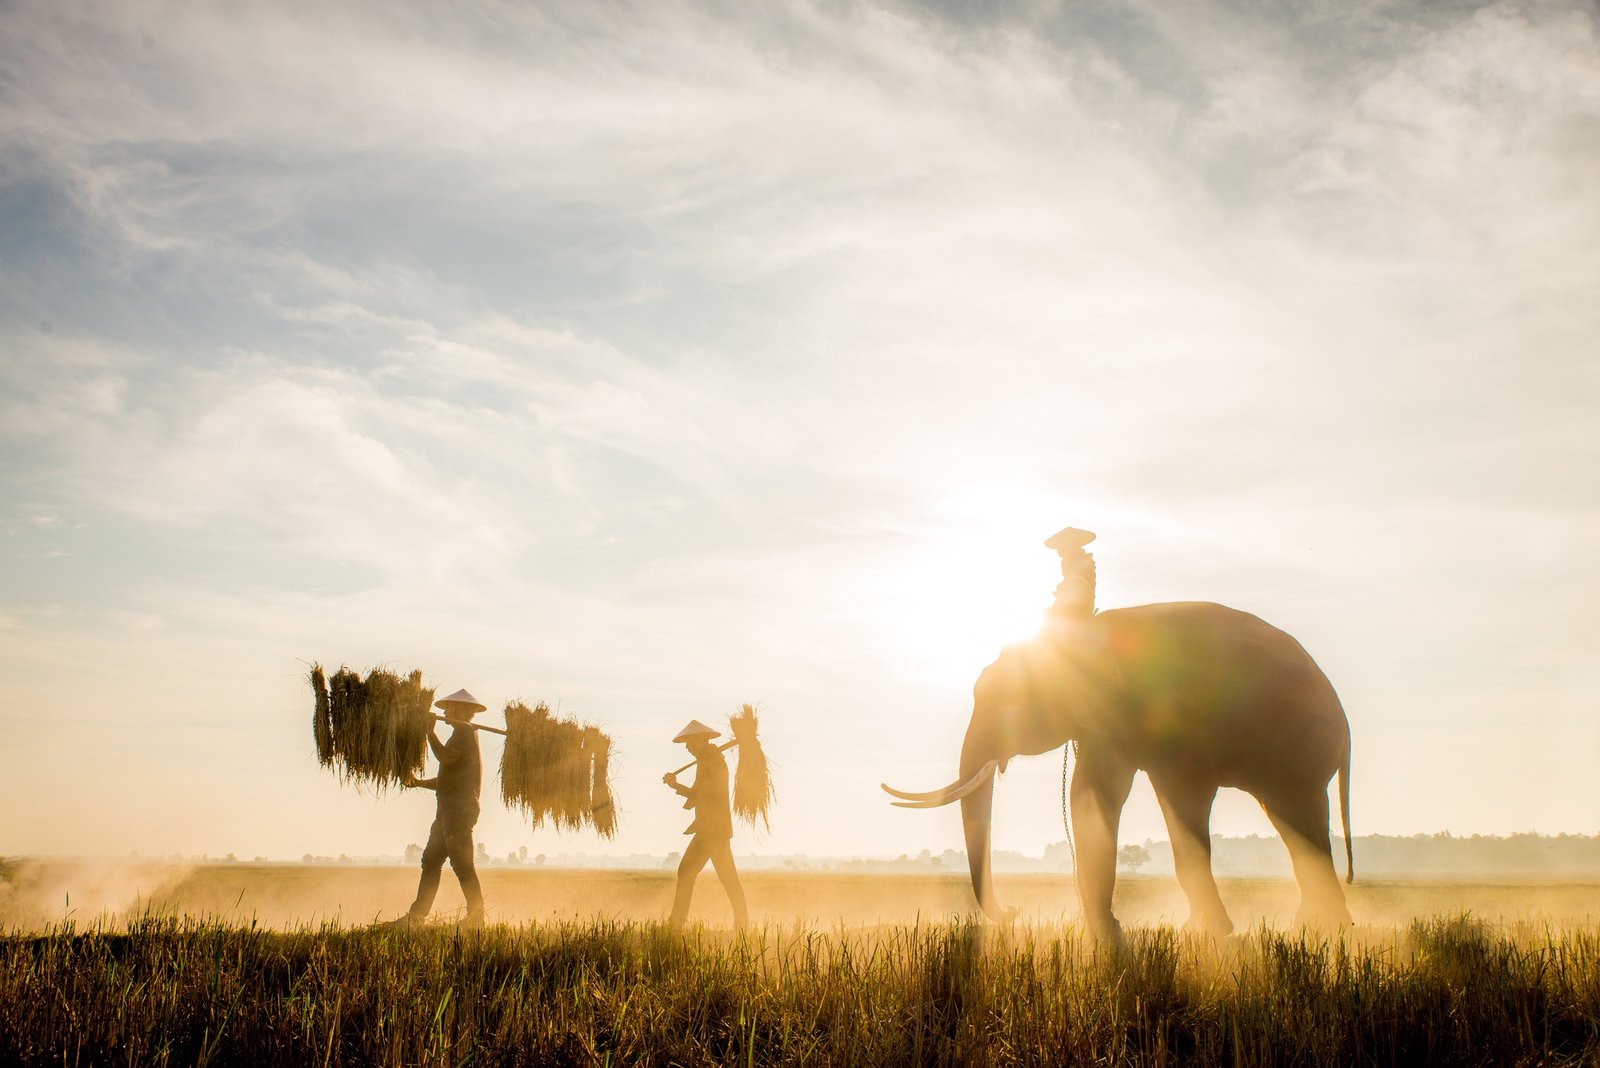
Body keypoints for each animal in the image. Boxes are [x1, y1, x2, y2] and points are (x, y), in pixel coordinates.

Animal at [883, 601, 1353, 942]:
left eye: (1006, 699)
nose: (1013, 911)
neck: (1088, 633)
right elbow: (1092, 794)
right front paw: (1105, 932)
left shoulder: (1169, 713)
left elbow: (1179, 797)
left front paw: (1208, 932)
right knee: (1292, 823)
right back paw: (1321, 924)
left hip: (1300, 746)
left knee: (1298, 817)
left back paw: (1325, 926)